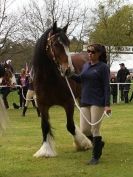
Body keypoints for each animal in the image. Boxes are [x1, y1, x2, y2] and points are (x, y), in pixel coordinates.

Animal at [32, 21, 92, 157]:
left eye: (68, 43)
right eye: (55, 44)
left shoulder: (68, 103)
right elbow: (45, 126)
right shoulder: (42, 105)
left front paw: (83, 143)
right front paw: (45, 150)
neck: (49, 80)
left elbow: (70, 126)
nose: (69, 70)